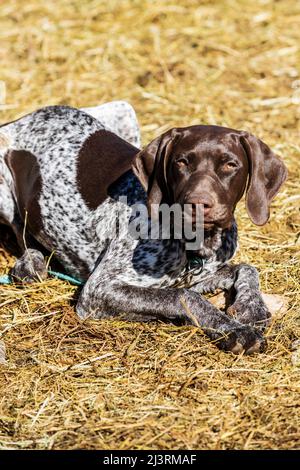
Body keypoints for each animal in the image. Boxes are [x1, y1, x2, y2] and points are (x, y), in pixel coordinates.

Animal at [0, 103, 286, 352]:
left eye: (230, 164)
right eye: (181, 162)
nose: (197, 204)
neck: (196, 241)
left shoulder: (201, 274)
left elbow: (245, 268)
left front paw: (252, 307)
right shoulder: (99, 290)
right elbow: (183, 296)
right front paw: (235, 330)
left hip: (124, 111)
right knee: (20, 233)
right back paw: (31, 264)